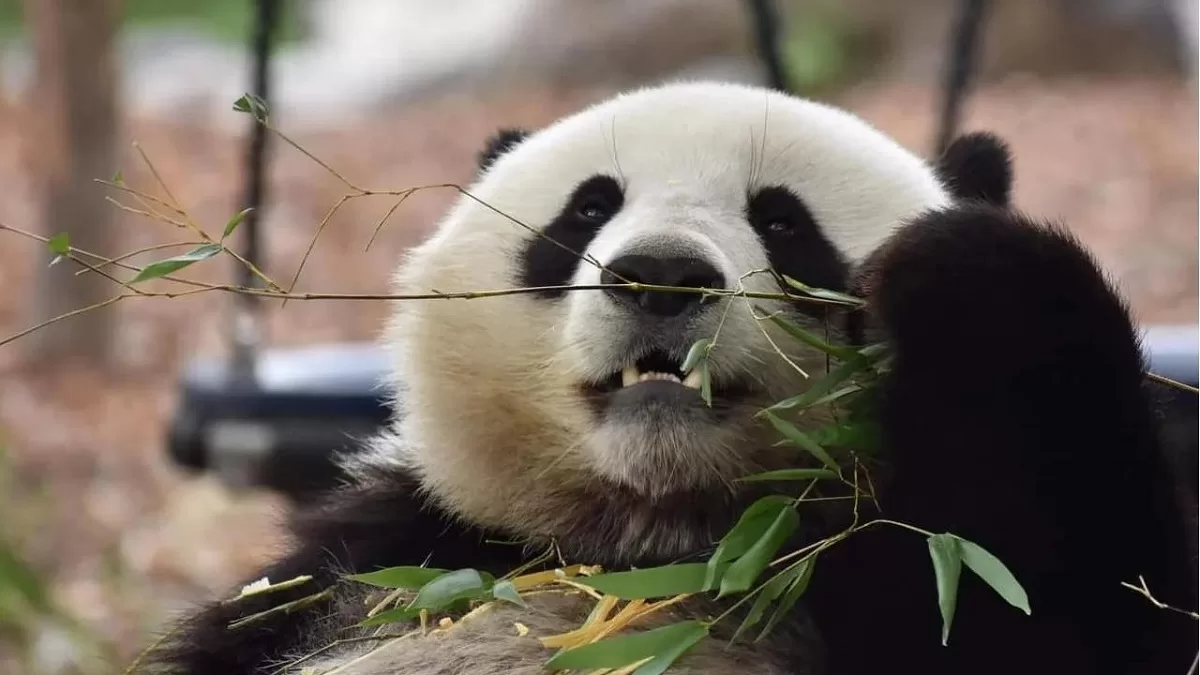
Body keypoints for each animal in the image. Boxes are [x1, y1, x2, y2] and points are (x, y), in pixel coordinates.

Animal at [143, 81, 1197, 675]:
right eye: (588, 208)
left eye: (783, 220)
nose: (660, 274)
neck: (668, 532)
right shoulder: (396, 551)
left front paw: (965, 267)